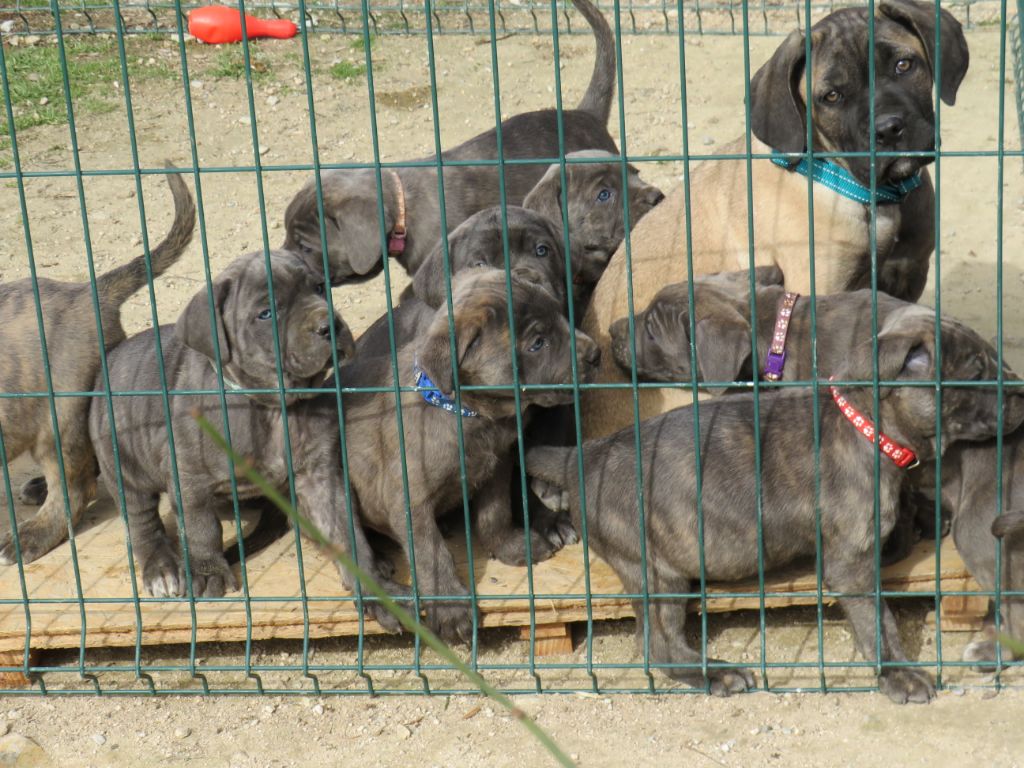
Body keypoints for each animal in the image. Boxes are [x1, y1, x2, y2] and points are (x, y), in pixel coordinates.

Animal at [87, 252, 360, 602]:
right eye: (266, 313)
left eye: (319, 288)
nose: (330, 326)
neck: (271, 406)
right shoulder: (190, 478)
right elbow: (201, 526)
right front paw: (207, 571)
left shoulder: (316, 472)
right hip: (124, 467)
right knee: (141, 521)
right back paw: (161, 569)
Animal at [339, 270, 602, 643]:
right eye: (537, 343)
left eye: (562, 317)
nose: (596, 354)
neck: (466, 413)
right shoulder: (410, 499)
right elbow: (432, 555)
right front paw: (452, 611)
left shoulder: (497, 466)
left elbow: (495, 514)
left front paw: (511, 547)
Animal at [528, 313, 1024, 704]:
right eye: (975, 375)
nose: (1020, 392)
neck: (863, 423)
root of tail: (583, 456)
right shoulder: (851, 563)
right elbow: (878, 621)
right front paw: (898, 675)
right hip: (654, 569)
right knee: (660, 646)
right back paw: (719, 673)